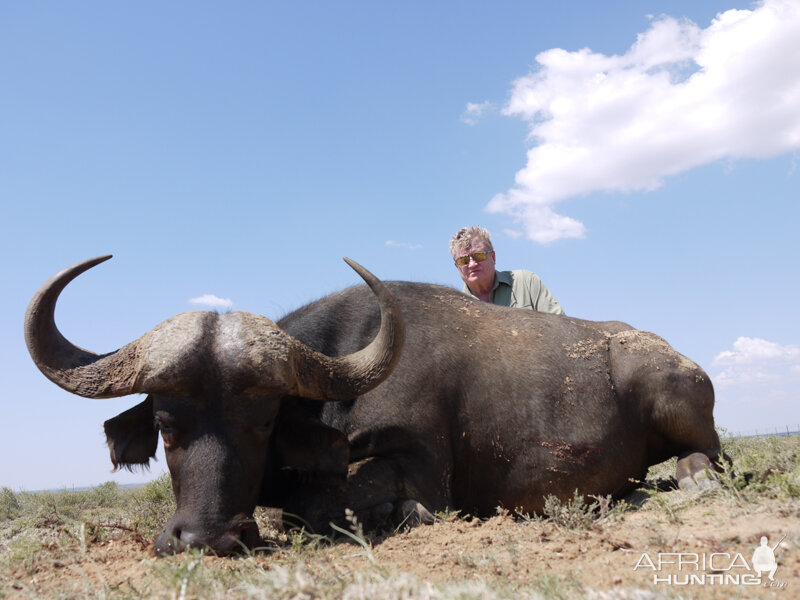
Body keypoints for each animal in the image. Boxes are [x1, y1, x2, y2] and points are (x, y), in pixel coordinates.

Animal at [28, 255, 720, 556]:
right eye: (166, 424)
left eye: (264, 421)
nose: (205, 537)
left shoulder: (422, 473)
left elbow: (335, 507)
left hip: (673, 398)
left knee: (706, 454)